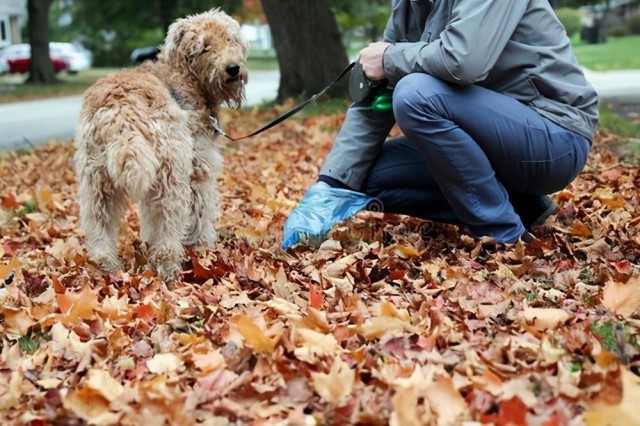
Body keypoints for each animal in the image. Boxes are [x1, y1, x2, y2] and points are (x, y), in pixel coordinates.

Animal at [73, 9, 248, 280]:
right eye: (204, 46)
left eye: (229, 39)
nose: (233, 68)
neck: (185, 75)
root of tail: (121, 109)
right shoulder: (198, 169)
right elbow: (200, 213)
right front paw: (202, 246)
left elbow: (149, 217)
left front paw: (147, 242)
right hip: (171, 175)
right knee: (168, 227)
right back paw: (170, 268)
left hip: (97, 181)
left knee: (99, 225)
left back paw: (107, 267)